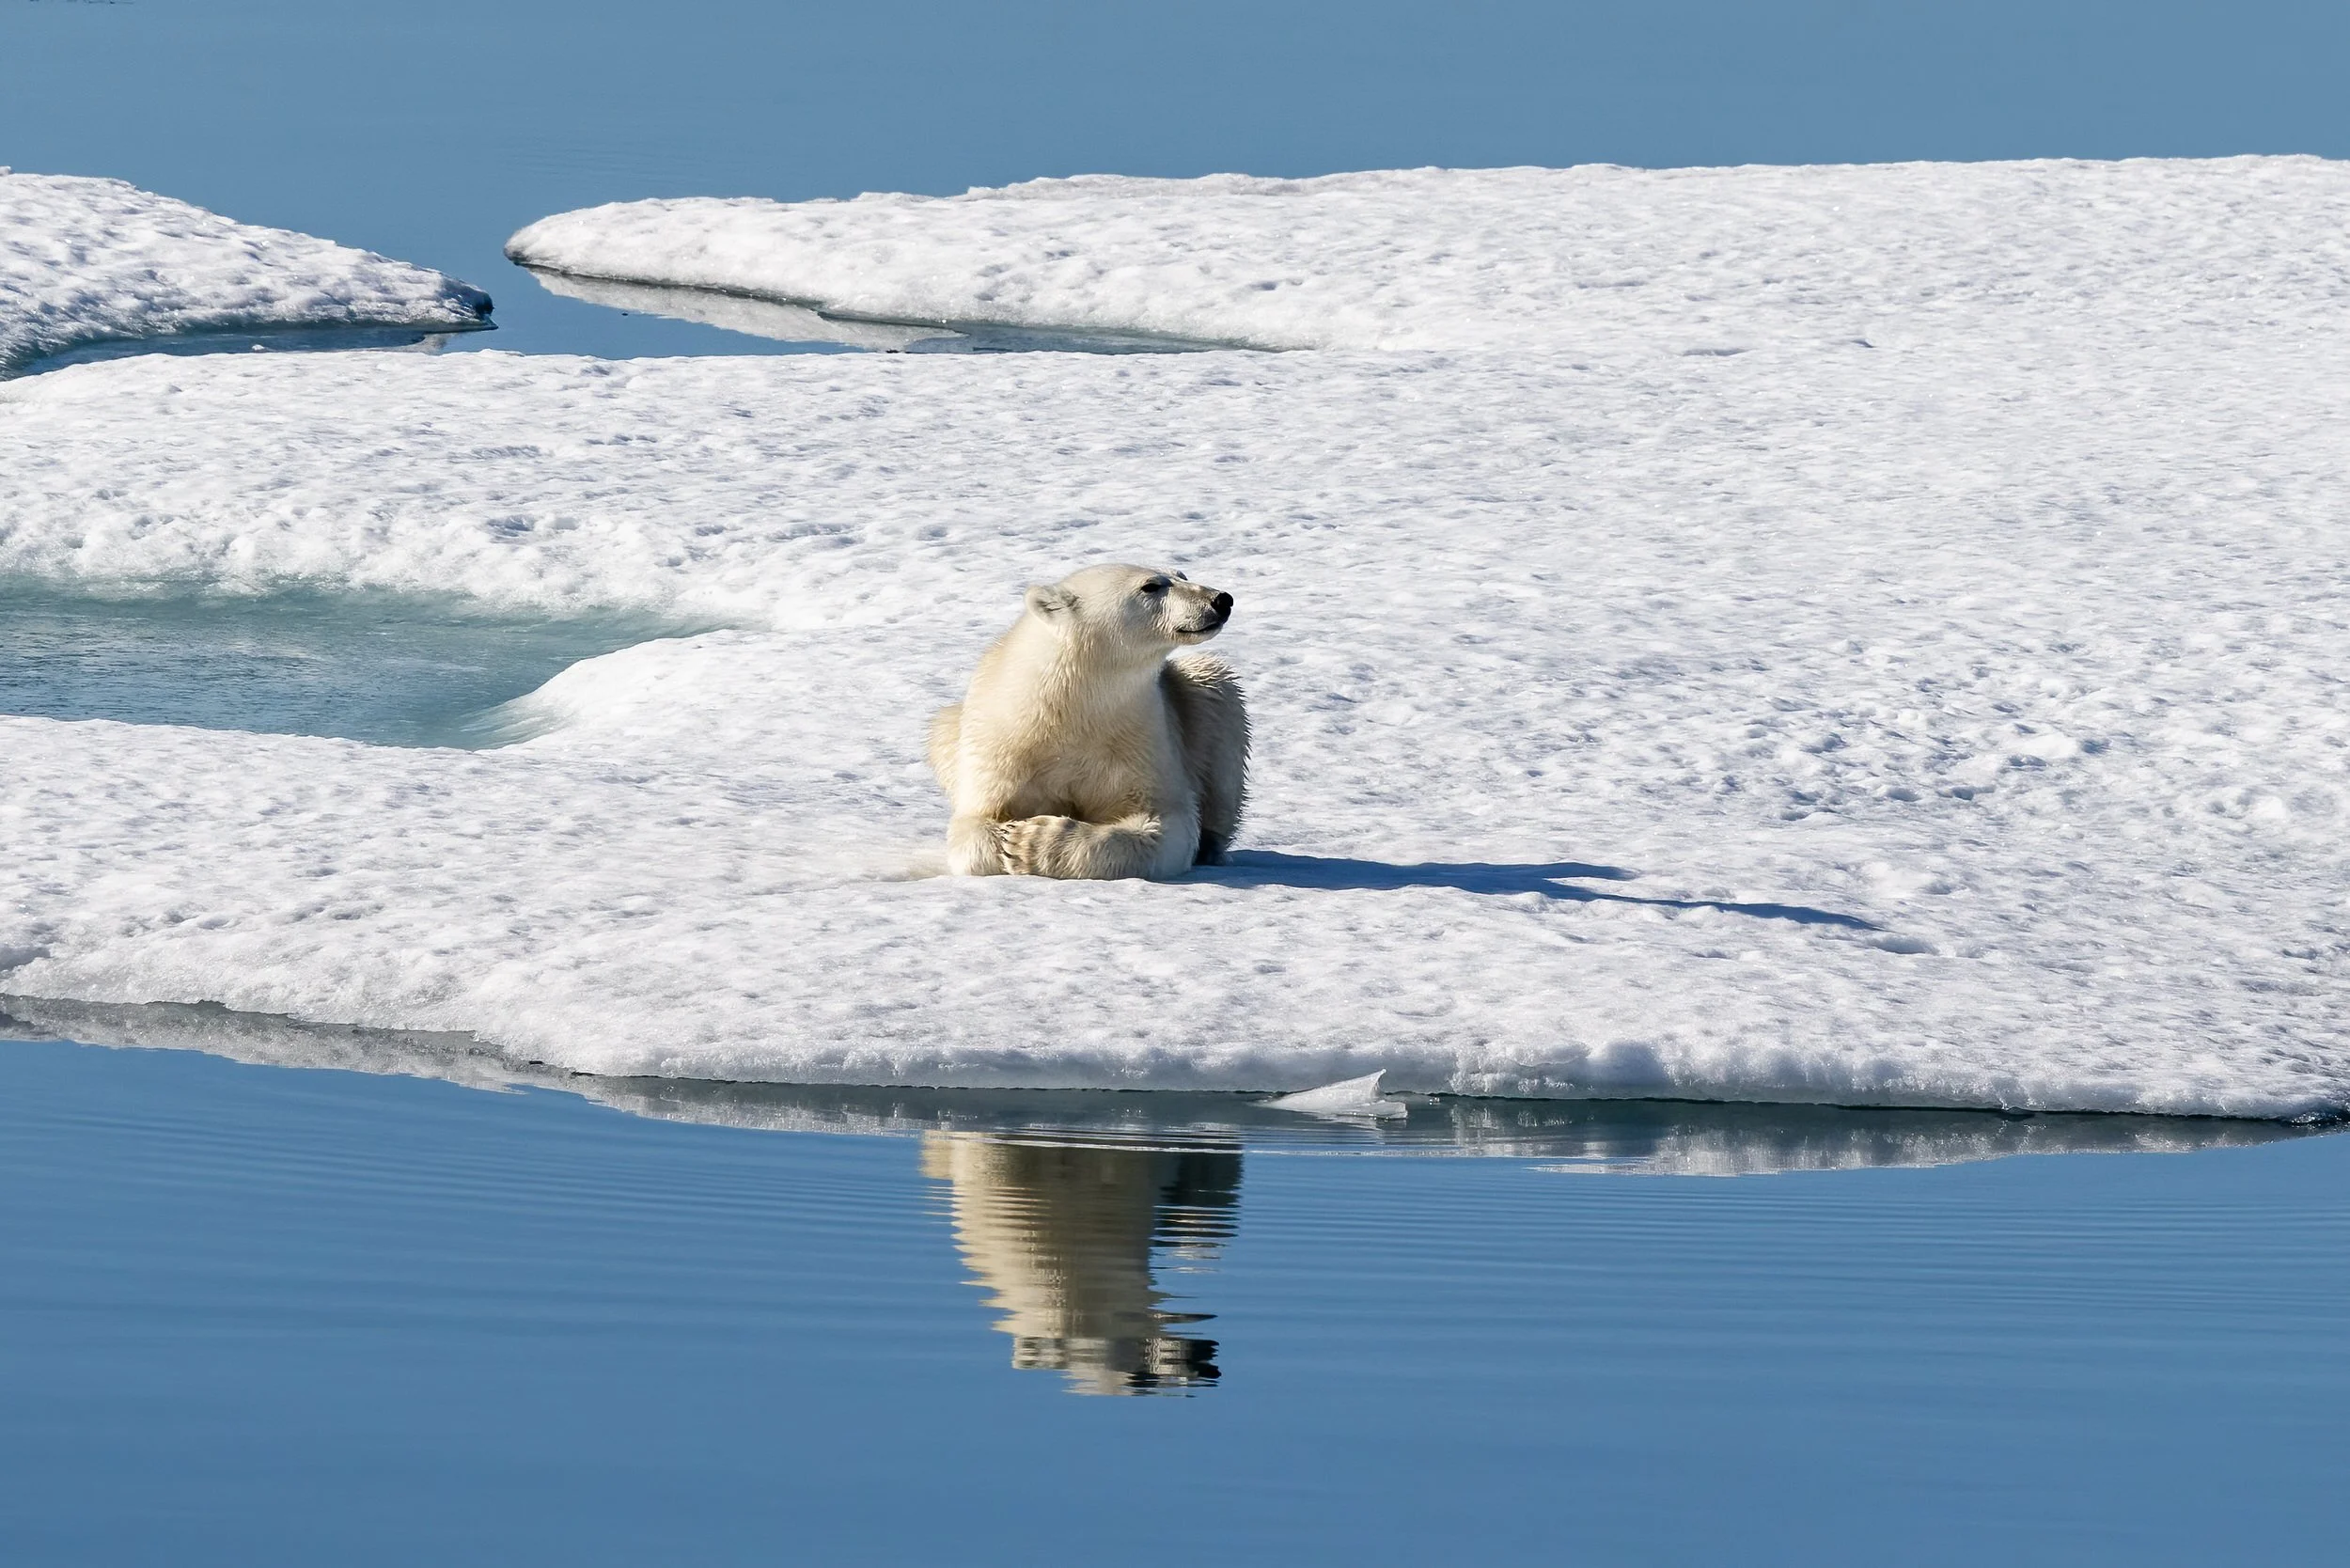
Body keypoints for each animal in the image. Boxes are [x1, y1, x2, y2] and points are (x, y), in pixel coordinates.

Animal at [928, 563, 1249, 879]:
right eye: (1151, 586)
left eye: (1181, 575)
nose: (1221, 600)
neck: (1072, 706)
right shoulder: (1003, 747)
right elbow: (973, 828)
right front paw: (1008, 837)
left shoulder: (1140, 740)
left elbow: (1163, 822)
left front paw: (1030, 840)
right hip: (949, 726)